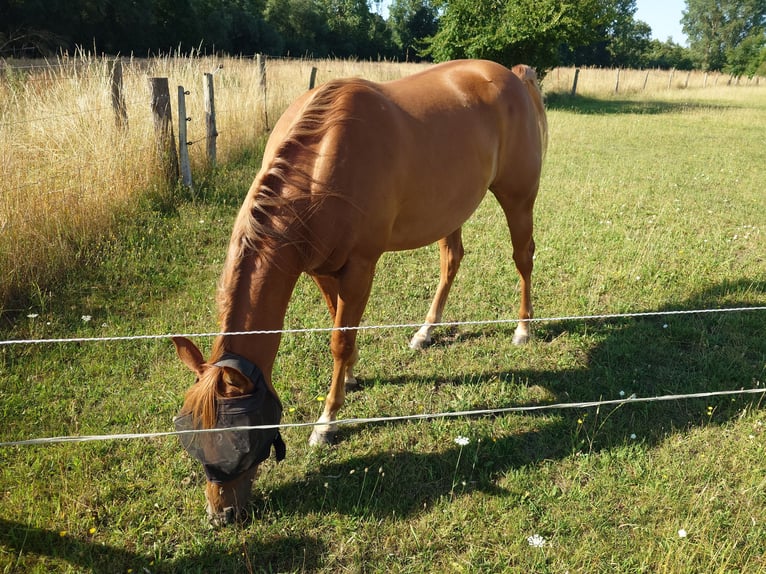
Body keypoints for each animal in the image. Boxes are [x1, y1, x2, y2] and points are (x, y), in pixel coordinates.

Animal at [172, 59, 548, 525]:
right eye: (190, 431)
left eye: (242, 437)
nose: (221, 513)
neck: (322, 160)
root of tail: (511, 75)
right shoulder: (318, 268)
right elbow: (338, 321)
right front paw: (350, 376)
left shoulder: (360, 267)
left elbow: (339, 338)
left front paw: (326, 421)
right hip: (452, 210)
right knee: (452, 260)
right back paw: (425, 332)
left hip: (518, 199)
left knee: (523, 258)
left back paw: (522, 328)